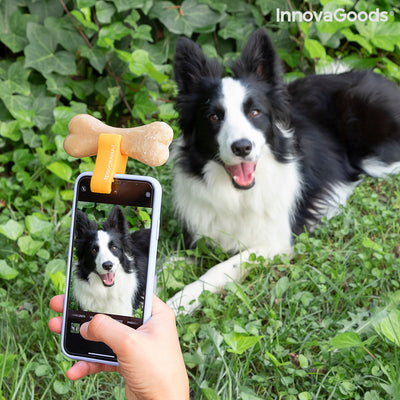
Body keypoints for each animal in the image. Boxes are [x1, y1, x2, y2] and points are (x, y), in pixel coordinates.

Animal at [166, 29, 400, 314]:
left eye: (255, 112)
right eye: (213, 117)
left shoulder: (275, 242)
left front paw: (180, 301)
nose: (242, 147)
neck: (239, 196)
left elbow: (222, 267)